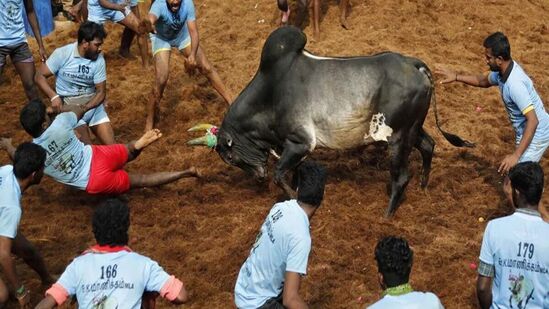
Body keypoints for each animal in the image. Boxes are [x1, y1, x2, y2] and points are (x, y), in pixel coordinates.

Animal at [187, 25, 470, 214]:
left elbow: (280, 176)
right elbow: (293, 174)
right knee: (428, 145)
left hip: (397, 136)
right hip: (412, 127)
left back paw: (387, 215)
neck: (269, 93)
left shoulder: (300, 142)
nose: (257, 176)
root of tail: (414, 64)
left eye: (230, 156)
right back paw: (423, 187)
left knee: (401, 177)